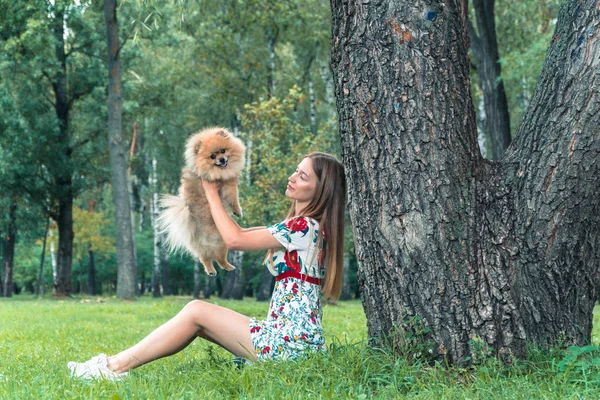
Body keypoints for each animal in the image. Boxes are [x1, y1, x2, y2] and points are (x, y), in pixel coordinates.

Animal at [158, 127, 247, 276]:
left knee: (218, 259)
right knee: (206, 258)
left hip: (222, 244)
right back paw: (211, 270)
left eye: (223, 151)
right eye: (212, 156)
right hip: (210, 245)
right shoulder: (228, 187)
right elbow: (234, 198)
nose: (221, 159)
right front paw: (238, 211)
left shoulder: (230, 184)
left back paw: (227, 266)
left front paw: (237, 211)